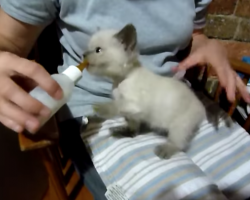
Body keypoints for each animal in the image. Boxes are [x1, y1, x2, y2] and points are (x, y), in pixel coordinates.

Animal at [85, 24, 206, 159]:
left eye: (98, 50)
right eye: (87, 48)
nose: (83, 55)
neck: (120, 80)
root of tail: (201, 106)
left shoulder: (134, 104)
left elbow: (117, 104)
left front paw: (102, 108)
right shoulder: (133, 114)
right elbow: (132, 123)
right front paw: (127, 131)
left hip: (180, 126)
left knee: (179, 143)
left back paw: (165, 150)